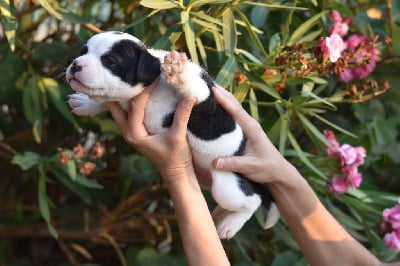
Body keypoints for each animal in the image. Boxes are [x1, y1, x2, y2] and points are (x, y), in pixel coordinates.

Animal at [65, 31, 278, 239]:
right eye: (83, 51)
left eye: (110, 61)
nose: (76, 64)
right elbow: (107, 100)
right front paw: (87, 104)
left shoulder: (207, 105)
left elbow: (197, 93)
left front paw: (180, 75)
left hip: (226, 184)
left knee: (253, 201)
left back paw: (231, 224)